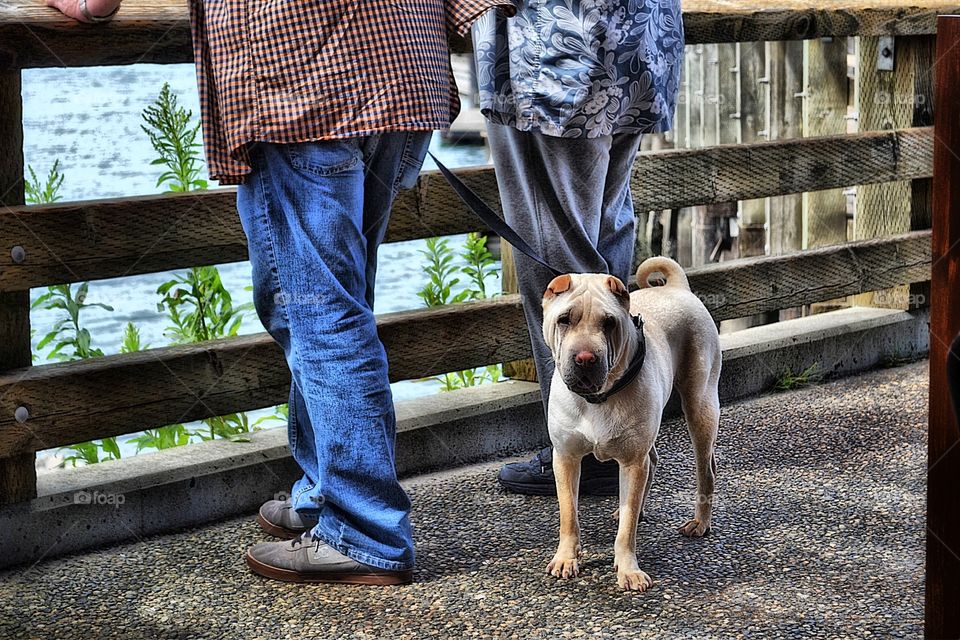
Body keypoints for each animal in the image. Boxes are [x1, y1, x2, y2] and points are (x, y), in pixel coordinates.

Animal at [544, 255, 716, 592]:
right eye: (564, 319)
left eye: (609, 323)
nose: (585, 358)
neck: (597, 398)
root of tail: (677, 287)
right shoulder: (565, 457)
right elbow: (569, 513)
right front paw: (566, 558)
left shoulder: (632, 462)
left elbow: (626, 531)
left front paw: (627, 569)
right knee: (653, 462)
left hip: (700, 406)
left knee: (706, 470)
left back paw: (699, 523)